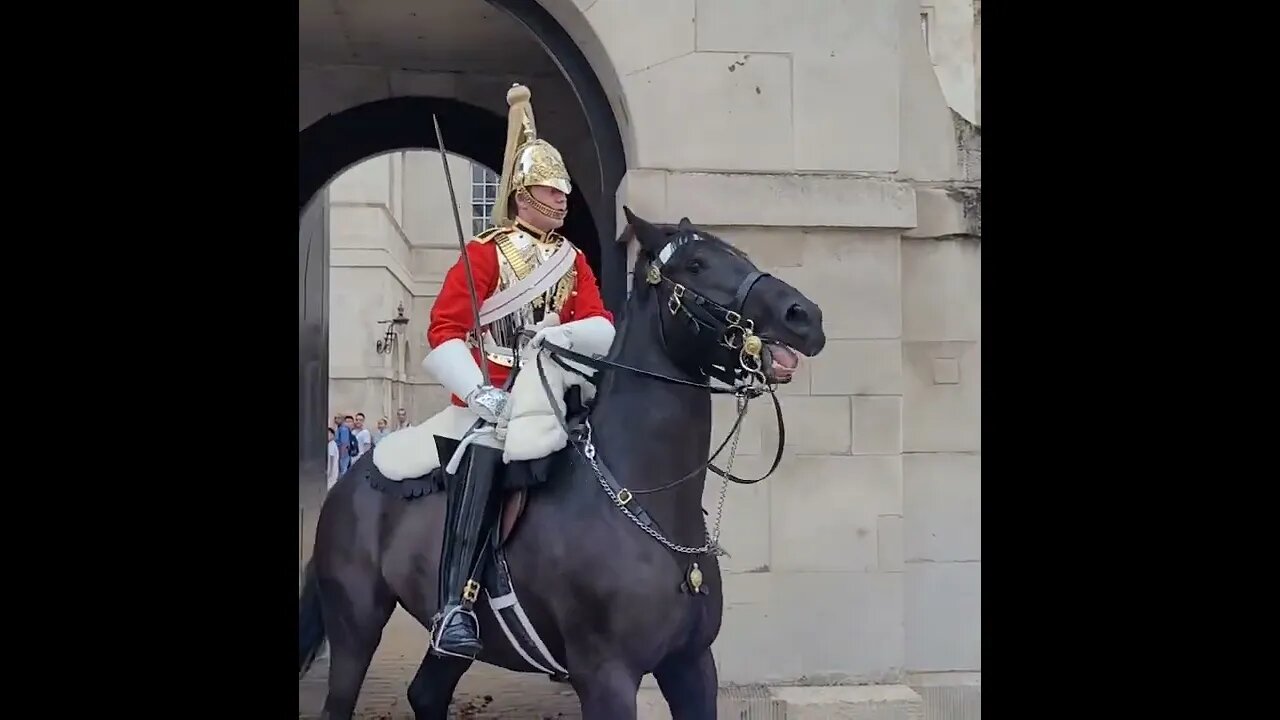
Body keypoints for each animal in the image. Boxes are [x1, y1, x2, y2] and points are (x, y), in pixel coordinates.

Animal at [295, 207, 824, 717]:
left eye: (740, 253)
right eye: (695, 265)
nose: (806, 316)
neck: (643, 498)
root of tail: (351, 479)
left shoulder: (691, 665)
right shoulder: (606, 676)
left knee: (426, 694)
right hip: (355, 625)